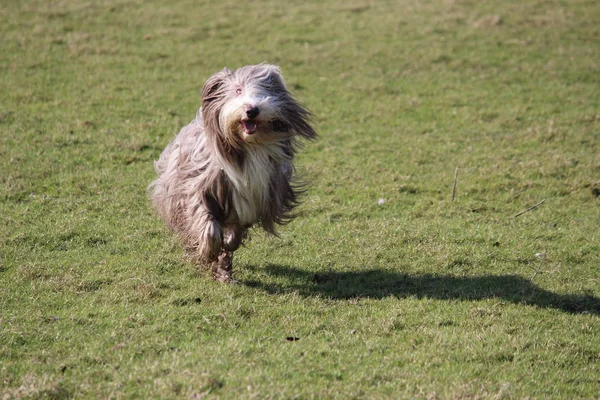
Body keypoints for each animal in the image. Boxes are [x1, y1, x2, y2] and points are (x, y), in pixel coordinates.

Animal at [149, 64, 316, 282]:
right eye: (237, 90)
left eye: (266, 90)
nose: (252, 110)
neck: (249, 146)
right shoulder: (201, 187)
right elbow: (208, 225)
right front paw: (209, 250)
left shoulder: (254, 200)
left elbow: (236, 233)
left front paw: (226, 247)